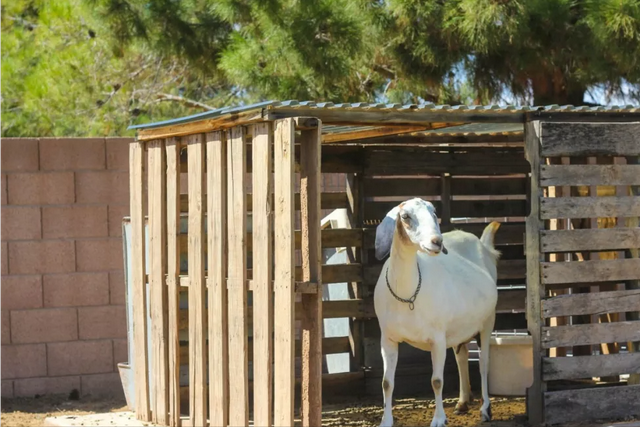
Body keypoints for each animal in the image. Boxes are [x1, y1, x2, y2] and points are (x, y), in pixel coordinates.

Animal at [376, 199, 500, 426]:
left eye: (434, 212)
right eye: (405, 216)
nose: (437, 242)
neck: (407, 294)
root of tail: (483, 246)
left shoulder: (437, 338)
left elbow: (437, 381)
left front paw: (439, 419)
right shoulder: (387, 338)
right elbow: (386, 382)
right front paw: (386, 421)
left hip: (488, 320)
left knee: (484, 364)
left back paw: (485, 410)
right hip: (460, 326)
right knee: (462, 356)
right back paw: (462, 403)